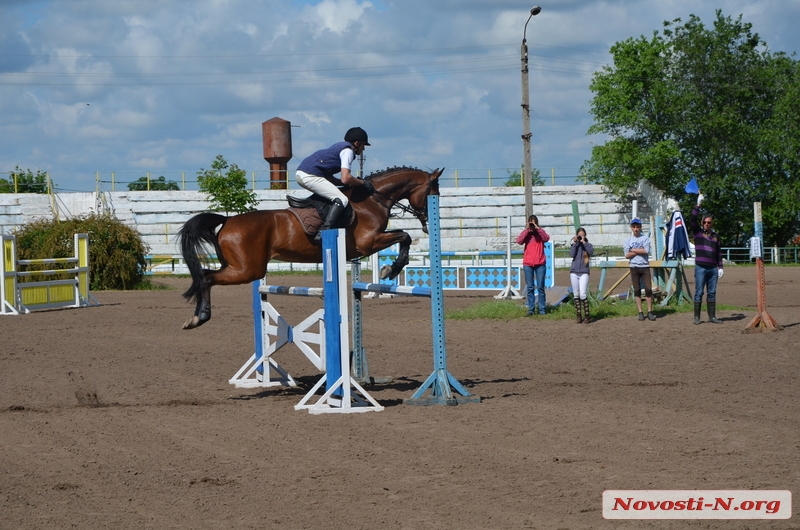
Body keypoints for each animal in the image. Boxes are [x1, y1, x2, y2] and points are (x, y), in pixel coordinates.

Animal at [178, 167, 444, 328]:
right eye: (433, 193)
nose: (428, 222)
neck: (371, 200)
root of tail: (227, 220)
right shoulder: (368, 243)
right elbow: (405, 236)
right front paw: (392, 269)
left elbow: (404, 237)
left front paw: (391, 269)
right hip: (247, 270)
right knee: (206, 277)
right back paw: (199, 318)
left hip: (239, 266)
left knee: (205, 276)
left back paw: (196, 317)